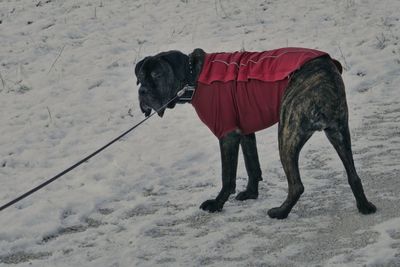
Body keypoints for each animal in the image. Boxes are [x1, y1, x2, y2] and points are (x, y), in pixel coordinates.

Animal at [136, 48, 376, 220]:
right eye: (140, 77)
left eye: (156, 74)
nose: (142, 91)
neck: (193, 77)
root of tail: (326, 73)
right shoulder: (245, 131)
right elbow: (252, 164)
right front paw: (251, 193)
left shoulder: (228, 134)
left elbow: (228, 176)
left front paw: (217, 204)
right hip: (338, 133)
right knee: (353, 175)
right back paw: (364, 206)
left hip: (287, 132)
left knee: (297, 185)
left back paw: (280, 212)